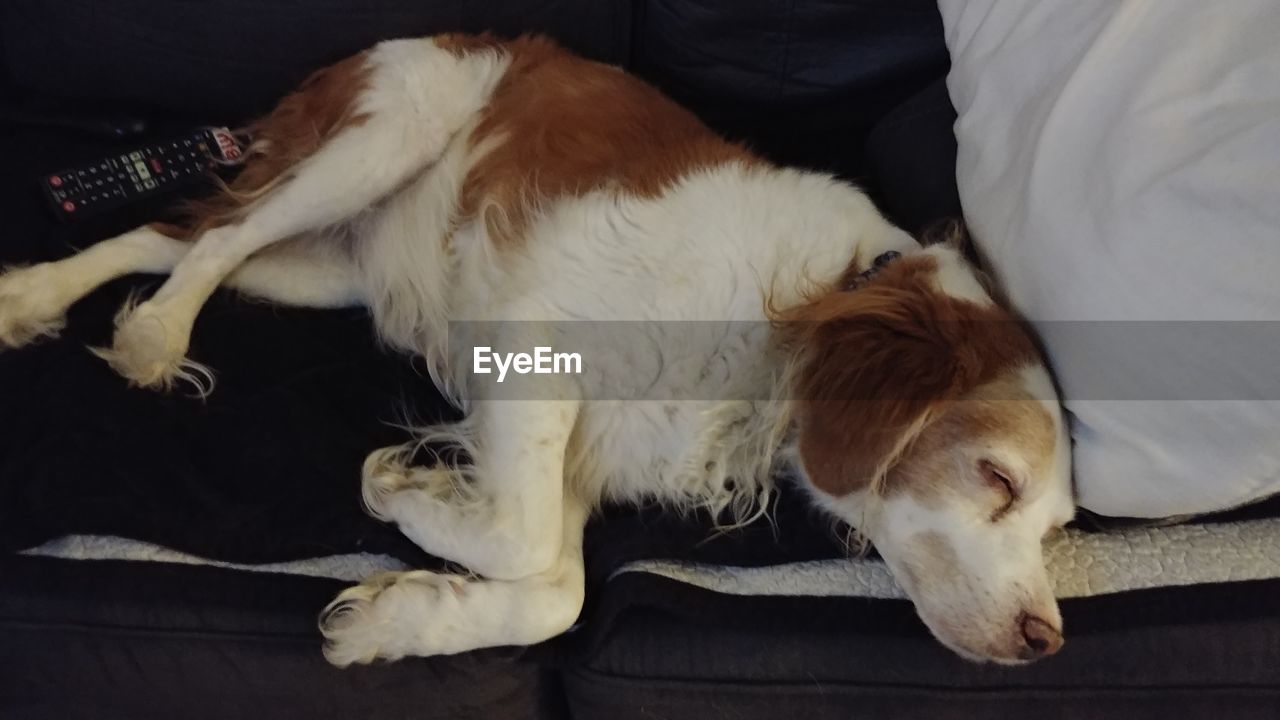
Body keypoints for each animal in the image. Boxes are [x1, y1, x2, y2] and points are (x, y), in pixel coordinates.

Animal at [2, 33, 1070, 661]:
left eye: (1060, 530)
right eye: (995, 477)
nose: (1046, 640)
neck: (800, 310)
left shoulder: (590, 450)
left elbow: (554, 590)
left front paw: (400, 615)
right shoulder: (528, 344)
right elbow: (523, 541)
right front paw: (401, 490)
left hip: (336, 266)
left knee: (178, 239)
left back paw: (33, 297)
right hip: (384, 135)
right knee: (213, 238)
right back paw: (152, 335)